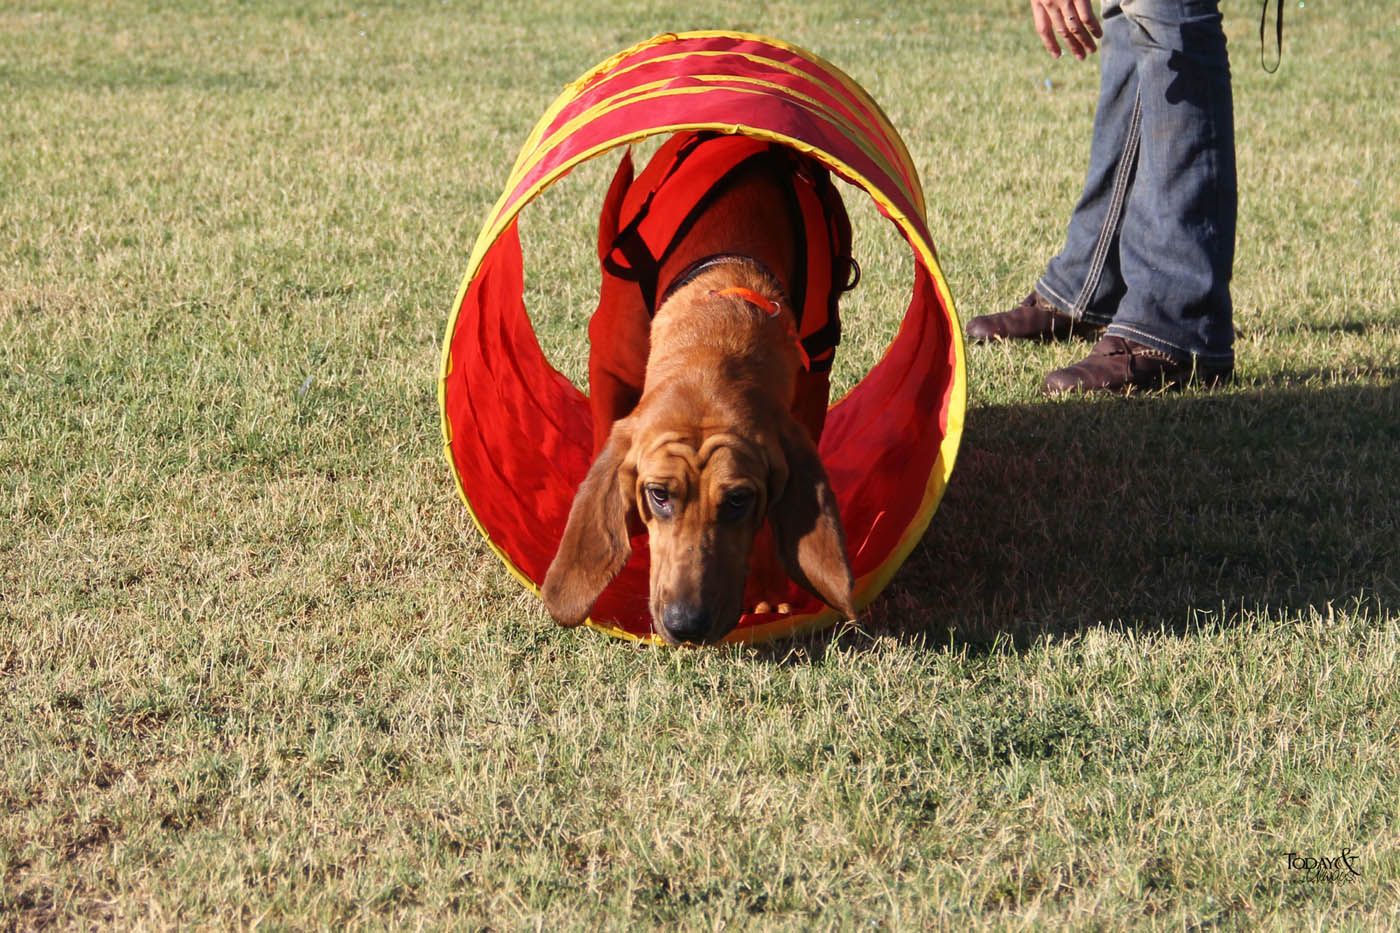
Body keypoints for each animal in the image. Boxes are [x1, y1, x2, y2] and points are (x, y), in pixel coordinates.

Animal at [543, 128, 851, 638]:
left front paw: (770, 591)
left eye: (739, 500)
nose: (686, 624)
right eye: (659, 495)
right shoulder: (607, 367)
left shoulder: (810, 392)